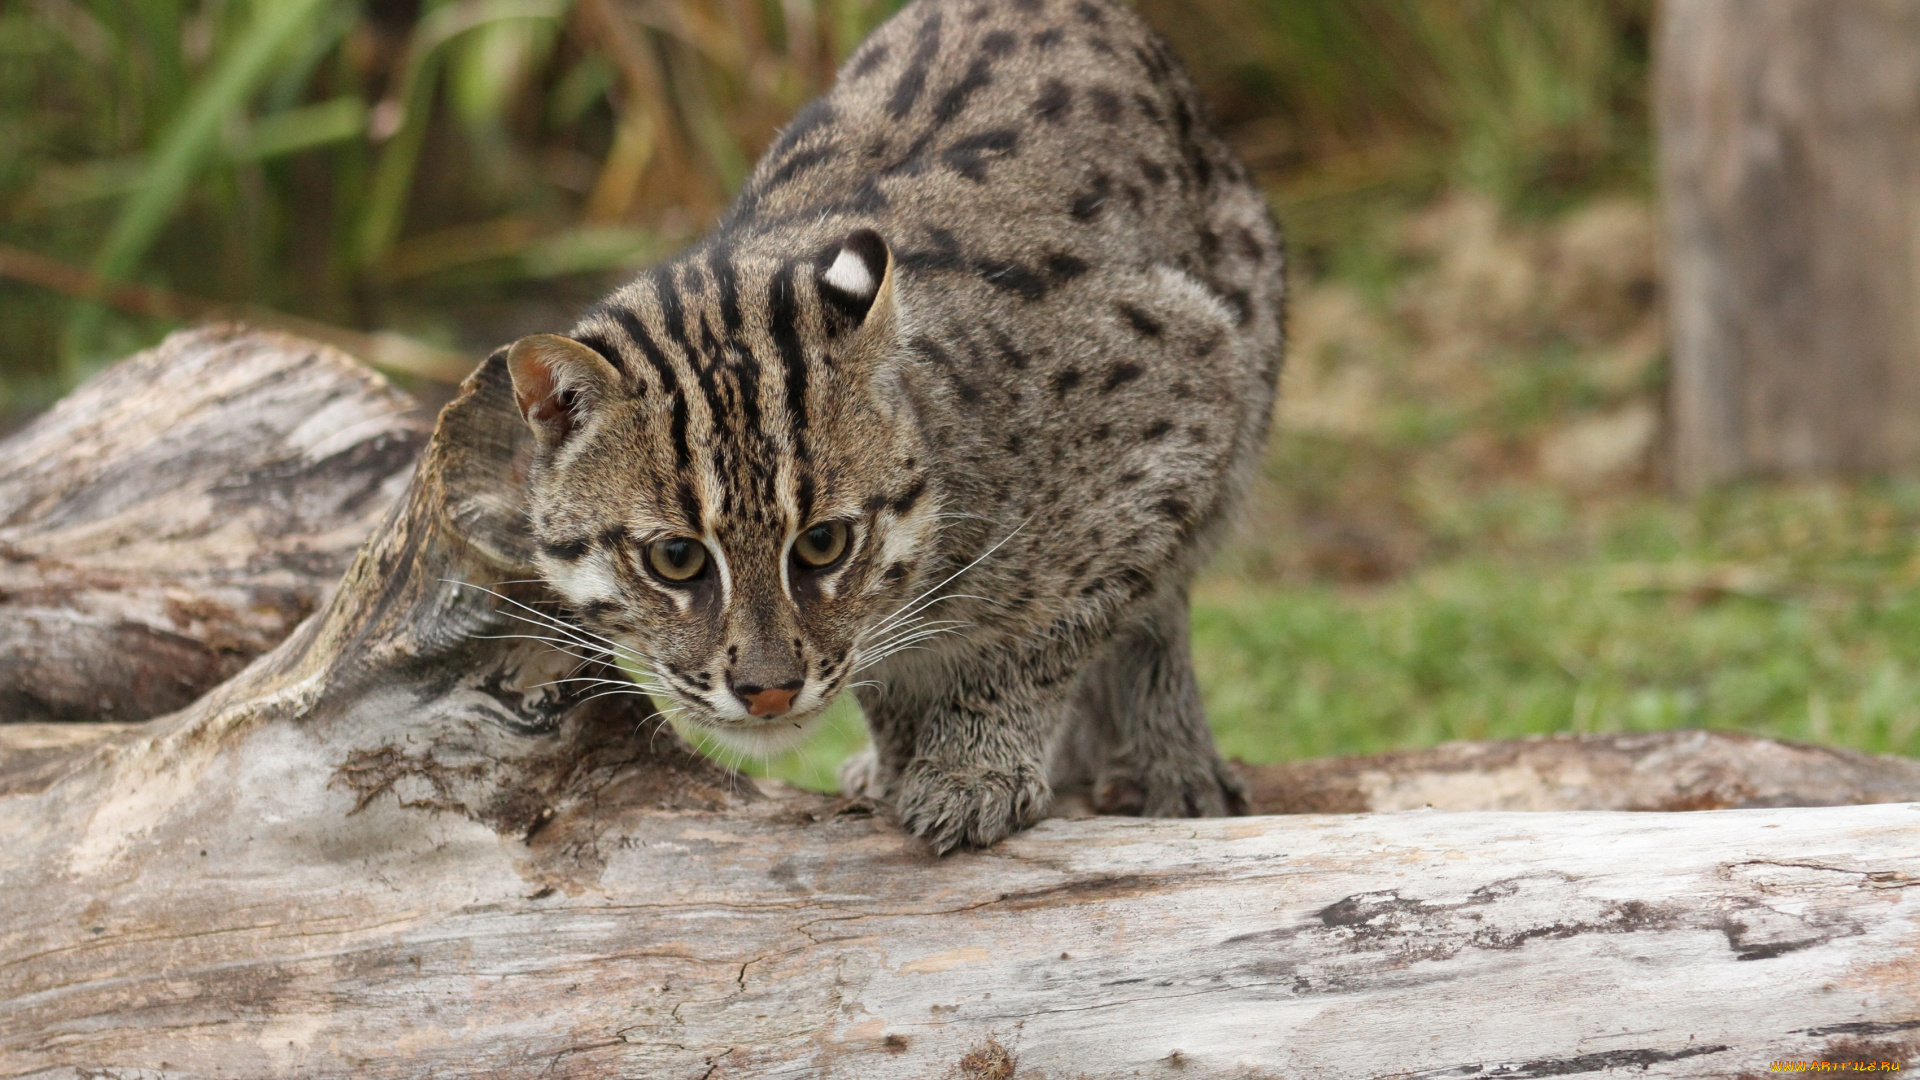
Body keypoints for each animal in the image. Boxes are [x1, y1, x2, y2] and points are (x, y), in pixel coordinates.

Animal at [506, 0, 1290, 849]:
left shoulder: (1187, 392)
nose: (769, 692)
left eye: (823, 543)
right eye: (676, 559)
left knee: (1161, 603)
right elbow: (880, 666)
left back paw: (1171, 765)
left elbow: (1046, 631)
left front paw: (973, 768)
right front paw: (902, 757)